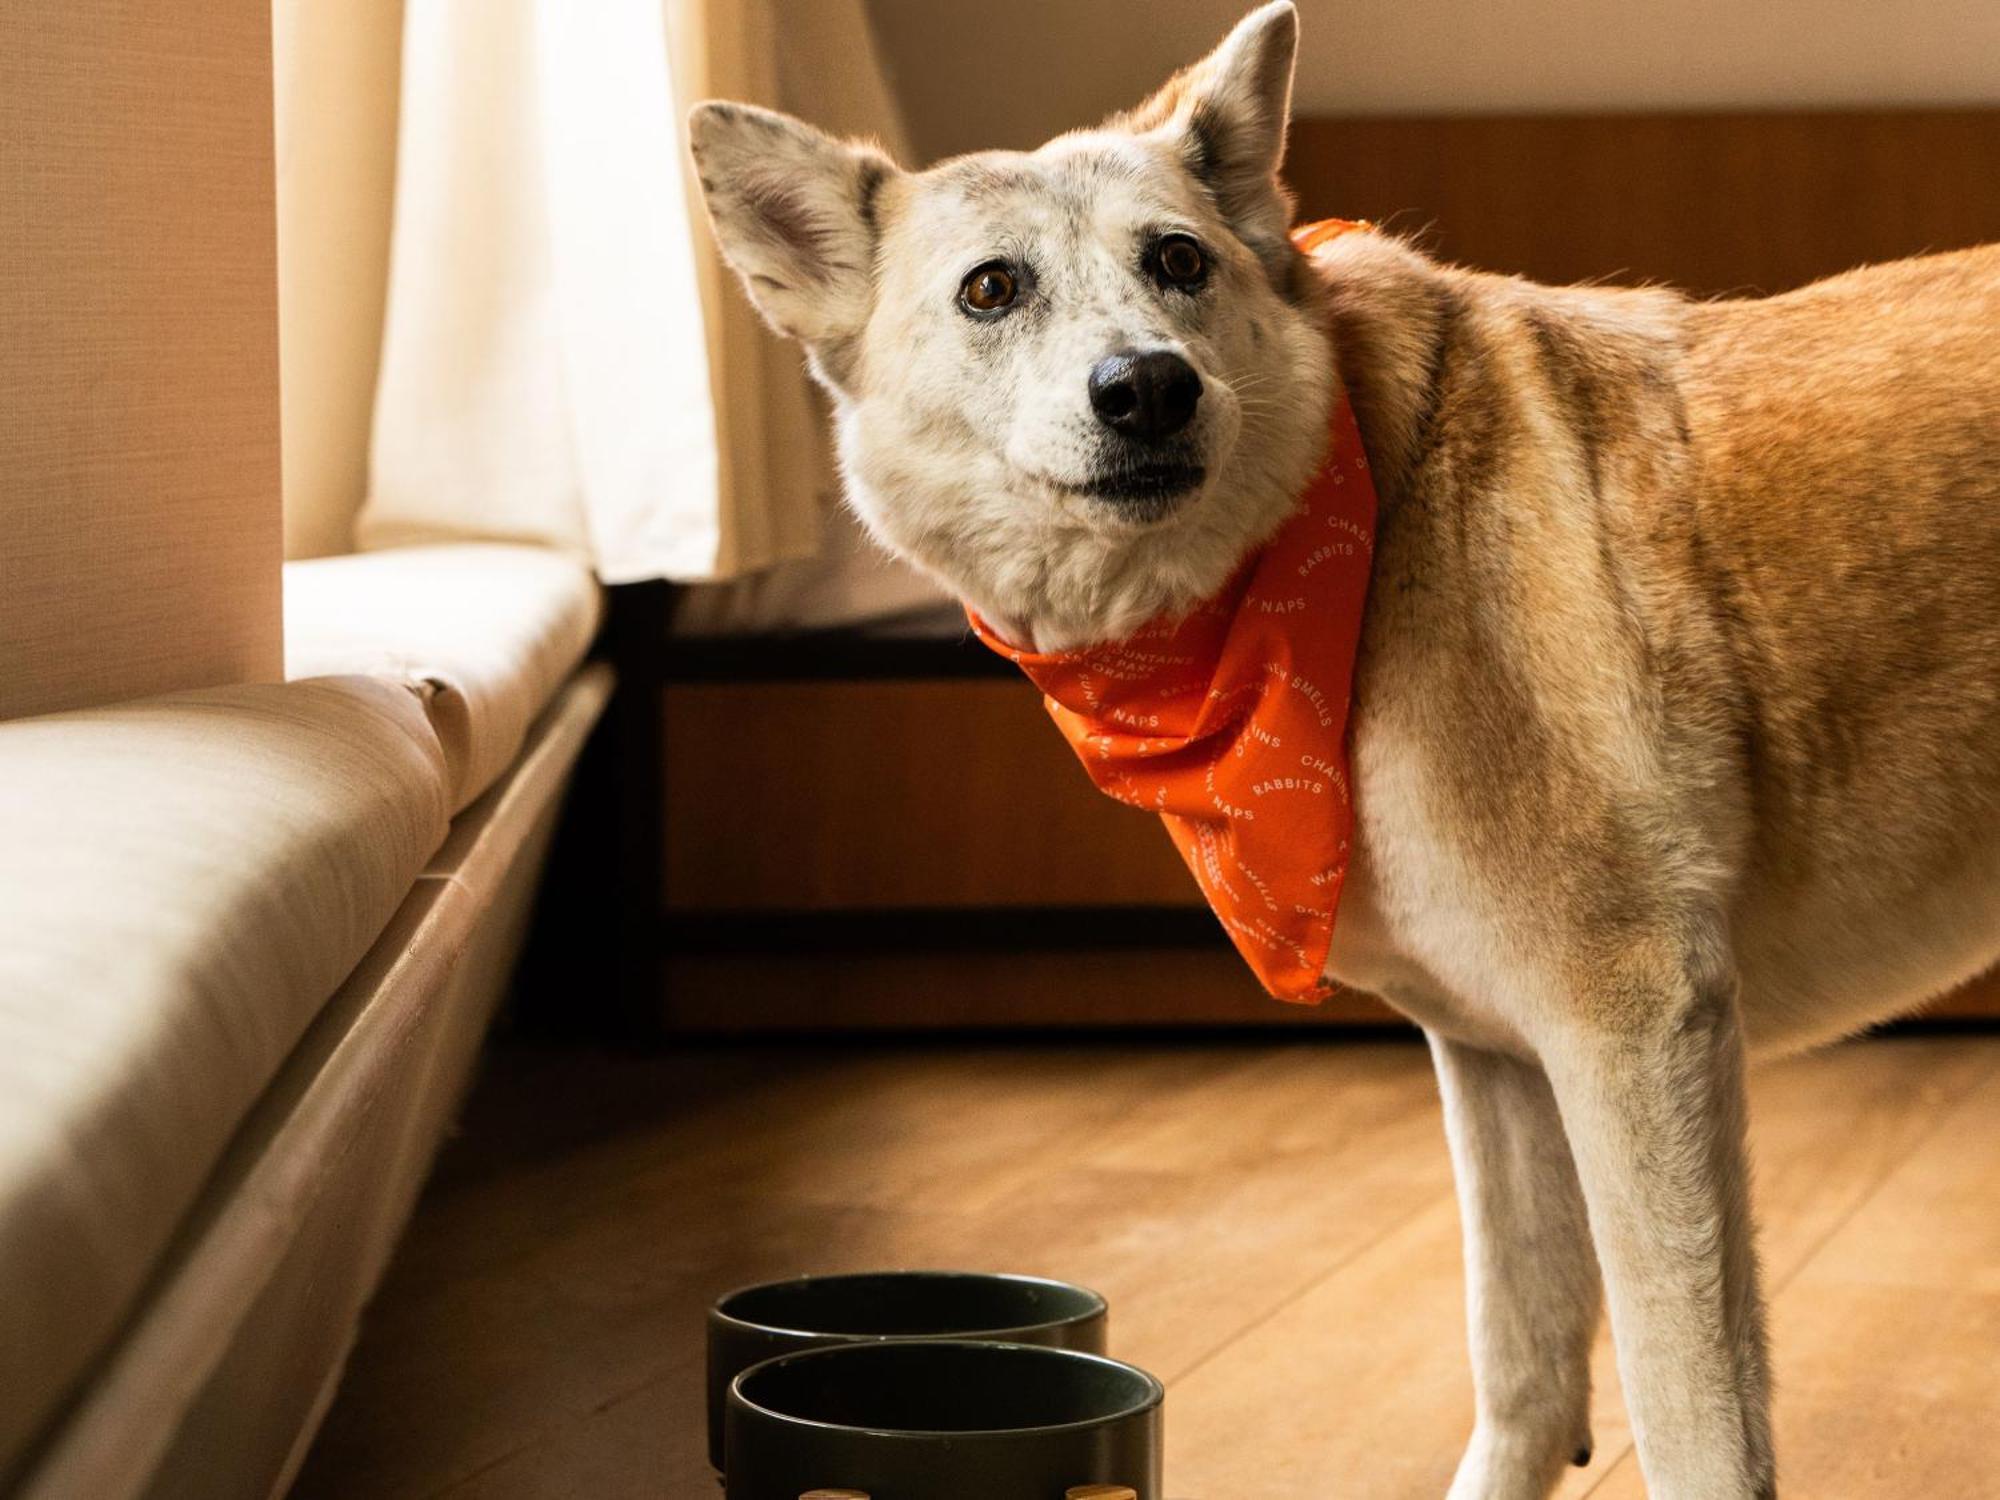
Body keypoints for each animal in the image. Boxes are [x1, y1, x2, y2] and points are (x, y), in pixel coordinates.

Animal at [692, 5, 2000, 1496]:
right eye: (990, 290)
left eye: (1177, 260)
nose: (1149, 389)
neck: (1356, 527)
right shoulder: (1501, 1059)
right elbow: (1522, 1365)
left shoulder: (1637, 1029)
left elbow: (1688, 1412)